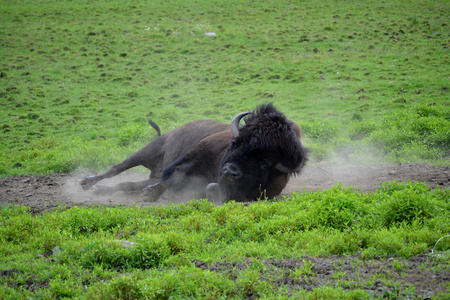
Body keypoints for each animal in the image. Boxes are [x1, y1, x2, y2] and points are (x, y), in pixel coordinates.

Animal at [80, 102, 306, 202]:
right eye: (235, 142)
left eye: (264, 164)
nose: (230, 172)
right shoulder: (190, 160)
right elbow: (175, 178)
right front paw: (150, 193)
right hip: (148, 150)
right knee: (117, 168)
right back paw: (87, 183)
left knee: (129, 184)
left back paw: (103, 190)